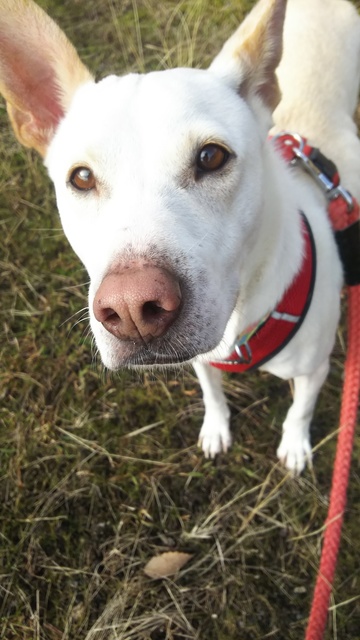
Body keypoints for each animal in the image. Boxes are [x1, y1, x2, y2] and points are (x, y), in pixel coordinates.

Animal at [0, 0, 360, 470]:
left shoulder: (315, 370)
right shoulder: (201, 359)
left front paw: (296, 445)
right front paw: (216, 427)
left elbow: (300, 409)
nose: (132, 309)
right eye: (81, 178)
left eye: (211, 157)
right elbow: (211, 391)